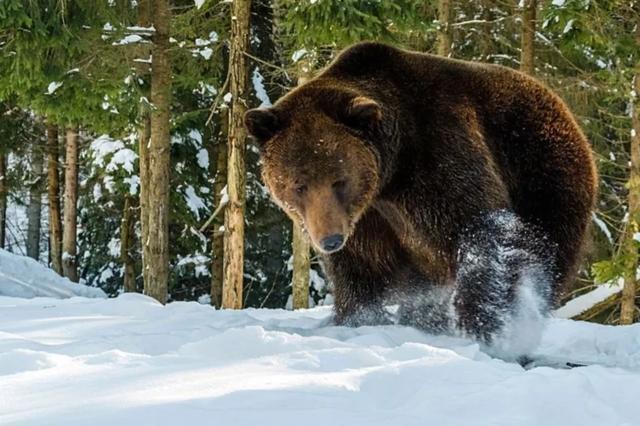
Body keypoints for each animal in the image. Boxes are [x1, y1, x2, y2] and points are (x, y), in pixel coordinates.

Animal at [242, 41, 596, 344]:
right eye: (298, 185)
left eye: (339, 180)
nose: (328, 239)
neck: (390, 174)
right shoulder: (366, 221)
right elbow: (358, 270)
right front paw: (357, 319)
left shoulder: (436, 159)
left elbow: (482, 229)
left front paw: (485, 325)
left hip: (543, 175)